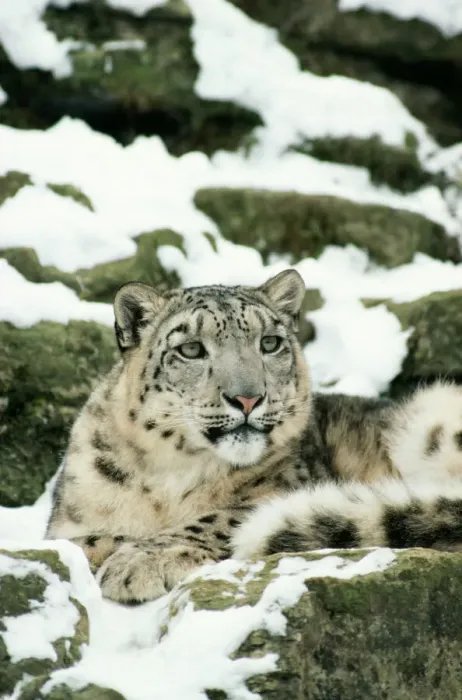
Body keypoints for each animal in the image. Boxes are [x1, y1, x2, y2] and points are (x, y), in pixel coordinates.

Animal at [46, 269, 462, 604]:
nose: (247, 397)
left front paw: (139, 560)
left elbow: (221, 518)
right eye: (191, 349)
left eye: (270, 343)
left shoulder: (284, 488)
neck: (169, 474)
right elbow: (73, 539)